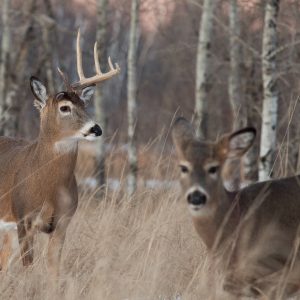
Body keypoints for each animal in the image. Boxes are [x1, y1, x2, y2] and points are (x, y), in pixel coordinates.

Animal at [0, 31, 119, 276]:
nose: (96, 129)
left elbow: (54, 269)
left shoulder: (63, 221)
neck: (48, 187)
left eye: (84, 105)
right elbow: (28, 267)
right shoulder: (23, 218)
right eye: (64, 107)